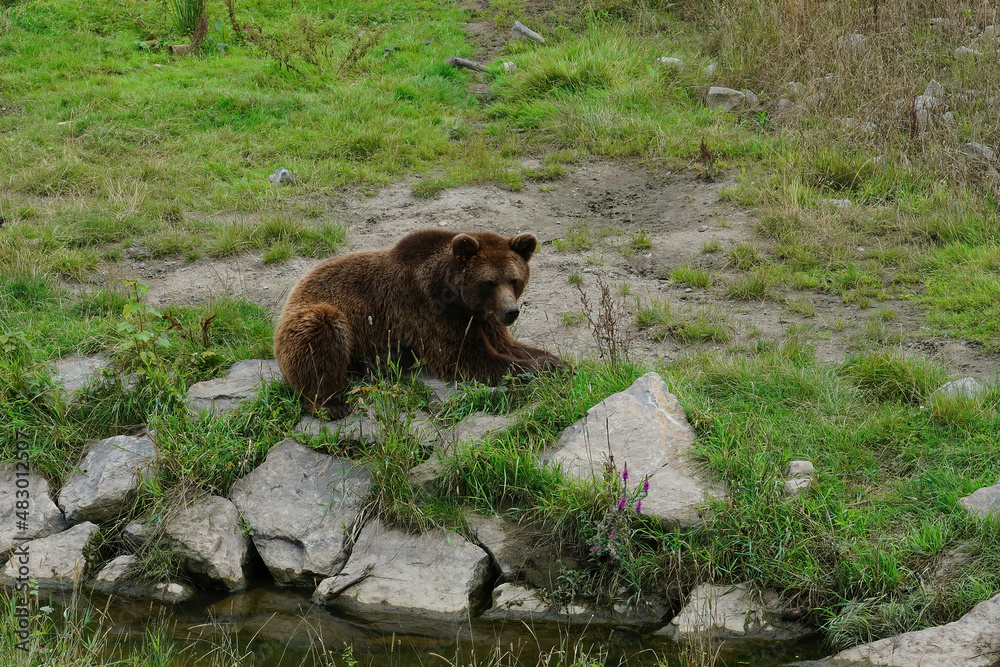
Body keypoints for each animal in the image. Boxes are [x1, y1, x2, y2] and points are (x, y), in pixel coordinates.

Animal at [273, 228, 564, 417]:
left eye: (513, 279)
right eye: (489, 282)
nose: (511, 312)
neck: (455, 298)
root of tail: (291, 294)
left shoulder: (483, 318)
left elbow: (508, 346)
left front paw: (556, 361)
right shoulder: (429, 312)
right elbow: (464, 359)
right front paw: (544, 367)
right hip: (317, 315)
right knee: (322, 334)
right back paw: (330, 404)